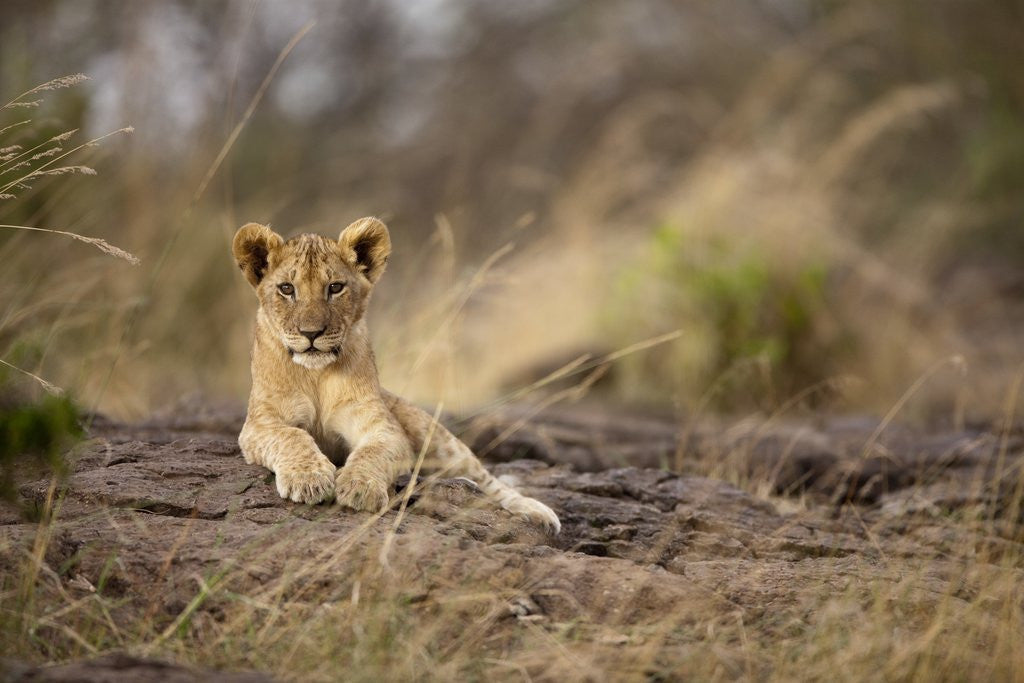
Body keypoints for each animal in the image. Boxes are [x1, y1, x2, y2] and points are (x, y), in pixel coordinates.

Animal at [232, 217, 561, 533]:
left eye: (335, 287)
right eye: (287, 289)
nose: (311, 333)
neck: (316, 375)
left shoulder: (384, 427)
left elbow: (373, 452)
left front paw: (360, 487)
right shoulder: (260, 424)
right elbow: (292, 436)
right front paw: (309, 479)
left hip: (434, 437)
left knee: (485, 479)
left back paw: (536, 512)